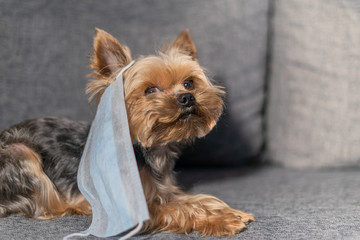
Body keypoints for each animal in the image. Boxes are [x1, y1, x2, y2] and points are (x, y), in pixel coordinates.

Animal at [0, 28, 255, 236]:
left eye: (189, 83)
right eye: (150, 90)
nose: (187, 97)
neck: (149, 150)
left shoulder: (163, 188)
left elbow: (192, 199)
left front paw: (228, 212)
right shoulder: (130, 212)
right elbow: (176, 208)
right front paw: (222, 220)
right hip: (19, 152)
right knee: (50, 206)